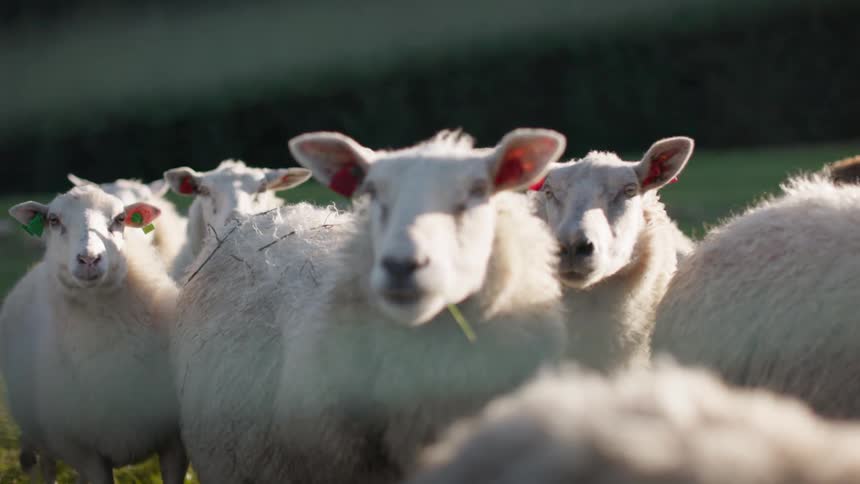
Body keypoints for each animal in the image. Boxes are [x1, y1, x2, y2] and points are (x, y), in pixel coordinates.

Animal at [0, 185, 187, 484]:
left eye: (120, 219)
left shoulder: (173, 440)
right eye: (53, 220)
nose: (89, 259)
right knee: (45, 466)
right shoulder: (83, 452)